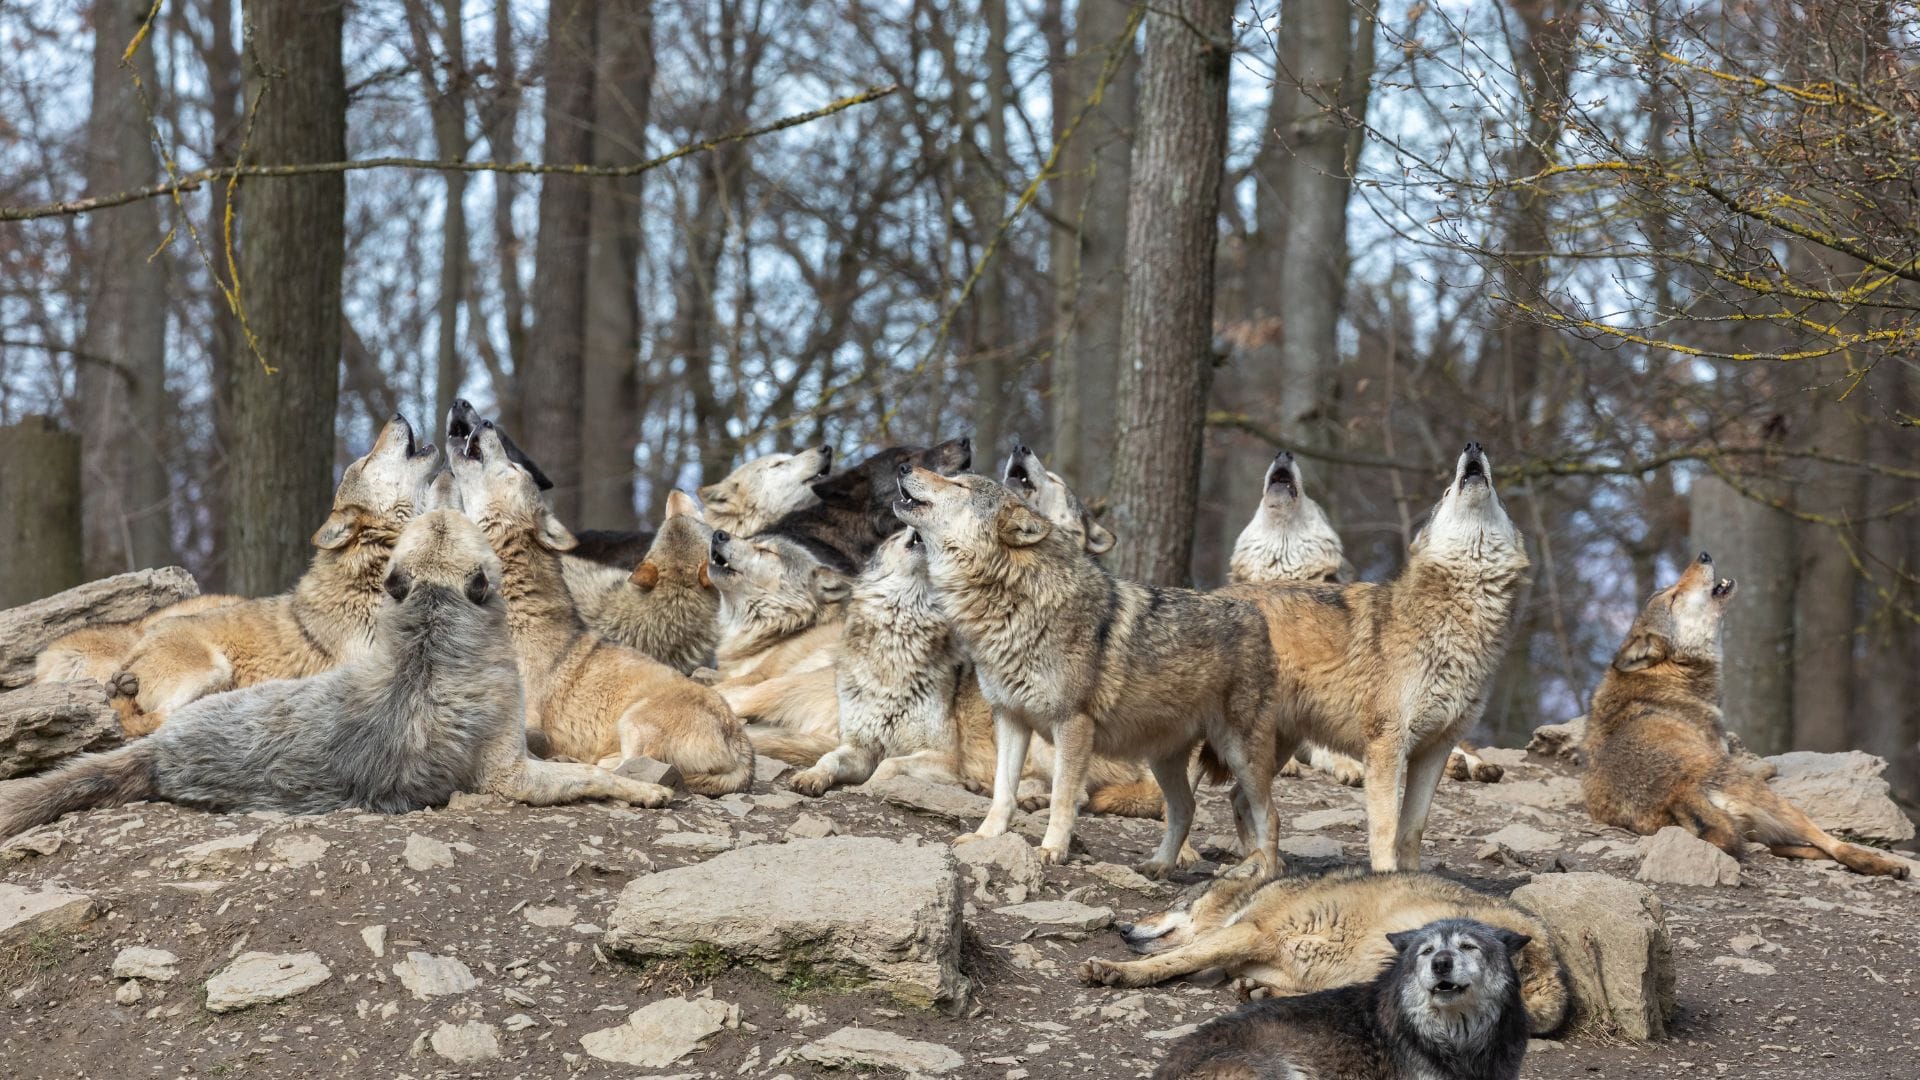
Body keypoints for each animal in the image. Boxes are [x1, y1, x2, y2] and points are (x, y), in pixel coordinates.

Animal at [0, 511, 675, 838]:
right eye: (466, 529)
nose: (444, 503)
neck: (430, 638)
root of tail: (162, 750)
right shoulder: (509, 769)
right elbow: (581, 776)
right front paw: (645, 791)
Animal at [895, 466, 1281, 875]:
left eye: (959, 484)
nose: (904, 466)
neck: (1014, 602)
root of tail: (1255, 615)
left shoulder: (1073, 725)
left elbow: (1064, 796)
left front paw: (1051, 850)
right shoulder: (1010, 718)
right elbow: (1003, 792)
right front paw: (986, 837)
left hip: (1241, 755)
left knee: (1268, 815)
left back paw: (1265, 875)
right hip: (1164, 760)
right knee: (1184, 808)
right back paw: (1159, 865)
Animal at [1079, 867, 1566, 1035]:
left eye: (1174, 902)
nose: (1123, 928)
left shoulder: (1248, 933)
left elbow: (1172, 959)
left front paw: (1115, 970)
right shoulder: (1267, 957)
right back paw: (1258, 993)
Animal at [1216, 444, 1528, 872]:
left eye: (1496, 496)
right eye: (1447, 492)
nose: (1472, 446)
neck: (1456, 616)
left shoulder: (1435, 750)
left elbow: (1413, 829)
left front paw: (1414, 880)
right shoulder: (1386, 748)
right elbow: (1386, 829)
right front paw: (1387, 878)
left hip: (1275, 746)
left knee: (1239, 800)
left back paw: (1263, 868)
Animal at [1583, 553, 1908, 878]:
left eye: (1671, 589)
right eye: (1673, 597)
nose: (1703, 555)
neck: (1672, 671)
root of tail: (1678, 793)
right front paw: (1766, 767)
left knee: (1794, 848)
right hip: (1779, 806)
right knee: (1833, 845)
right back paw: (1883, 863)